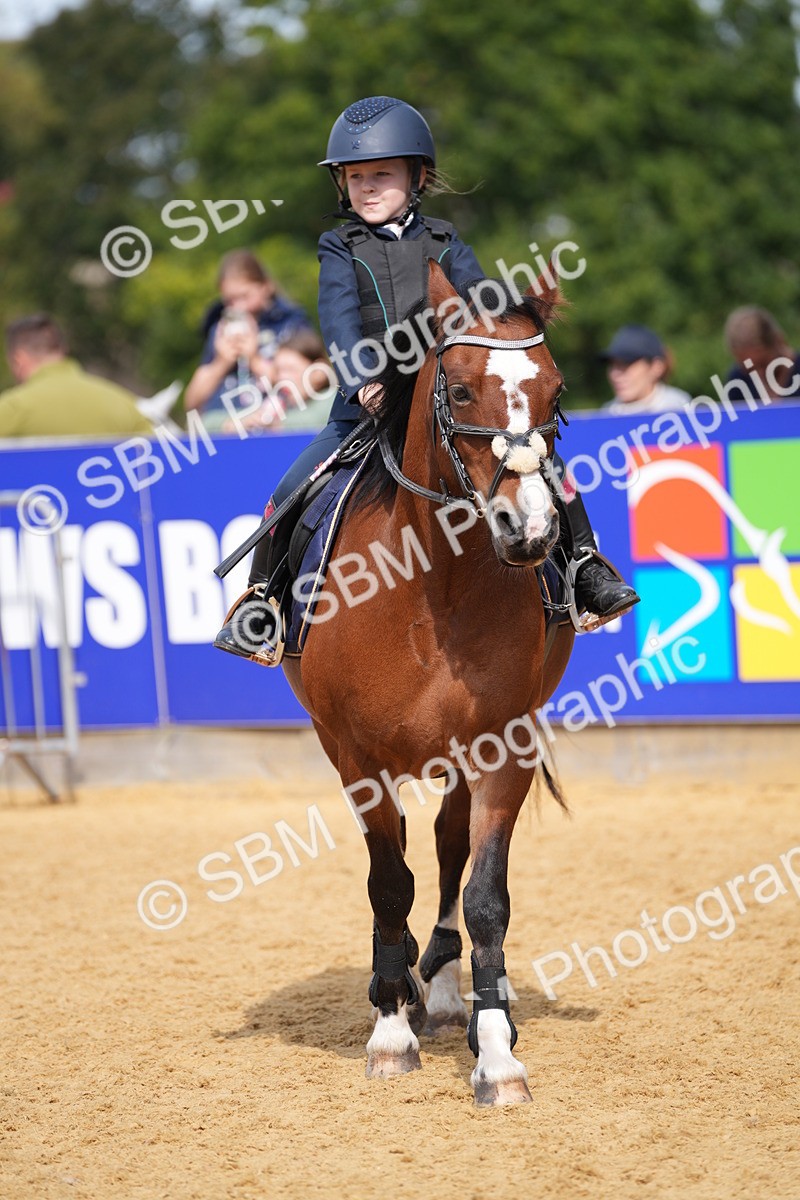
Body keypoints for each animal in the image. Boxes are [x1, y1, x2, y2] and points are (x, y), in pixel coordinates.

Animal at [283, 260, 576, 1106]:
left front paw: (497, 1053)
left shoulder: (504, 746)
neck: (432, 585)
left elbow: (484, 896)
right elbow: (388, 884)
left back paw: (443, 986)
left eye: (556, 393)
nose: (530, 529)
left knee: (448, 846)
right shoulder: (355, 757)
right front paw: (389, 1032)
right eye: (464, 389)